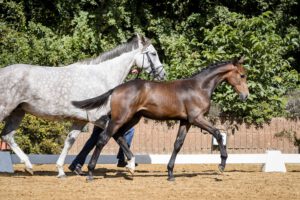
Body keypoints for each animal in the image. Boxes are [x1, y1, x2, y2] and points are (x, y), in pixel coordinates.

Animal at [0, 33, 165, 177]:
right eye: (153, 53)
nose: (162, 74)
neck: (100, 77)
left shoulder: (80, 120)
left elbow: (69, 141)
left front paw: (61, 170)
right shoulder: (98, 118)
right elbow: (118, 135)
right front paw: (131, 165)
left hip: (18, 112)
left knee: (7, 136)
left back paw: (29, 167)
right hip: (5, 109)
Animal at [72, 56, 248, 181]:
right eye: (242, 75)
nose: (245, 96)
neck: (199, 87)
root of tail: (115, 89)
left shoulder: (186, 121)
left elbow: (178, 144)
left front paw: (170, 173)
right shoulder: (196, 118)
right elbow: (218, 133)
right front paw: (222, 164)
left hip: (132, 118)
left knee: (117, 135)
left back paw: (131, 166)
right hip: (121, 118)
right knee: (103, 138)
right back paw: (90, 172)